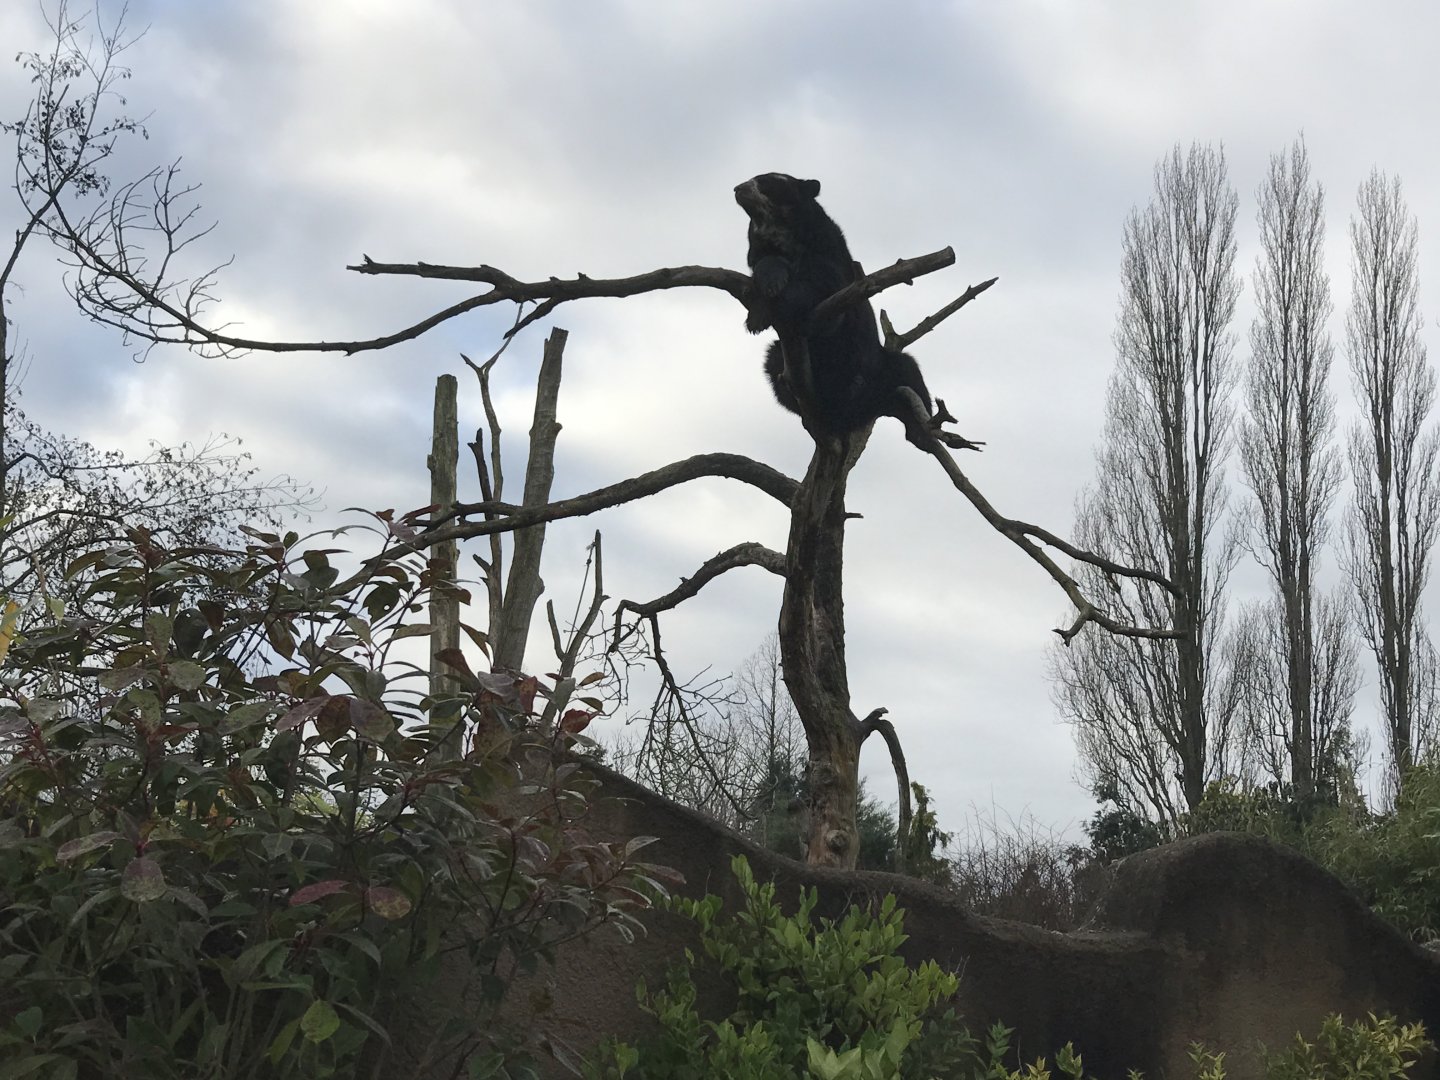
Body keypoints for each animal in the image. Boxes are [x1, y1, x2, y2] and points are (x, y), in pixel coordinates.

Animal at [733, 172, 936, 448]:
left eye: (768, 181)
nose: (738, 188)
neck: (783, 235)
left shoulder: (830, 261)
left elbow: (824, 305)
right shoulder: (760, 254)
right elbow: (764, 269)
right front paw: (759, 313)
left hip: (877, 367)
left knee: (909, 371)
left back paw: (923, 433)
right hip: (784, 361)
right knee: (774, 361)